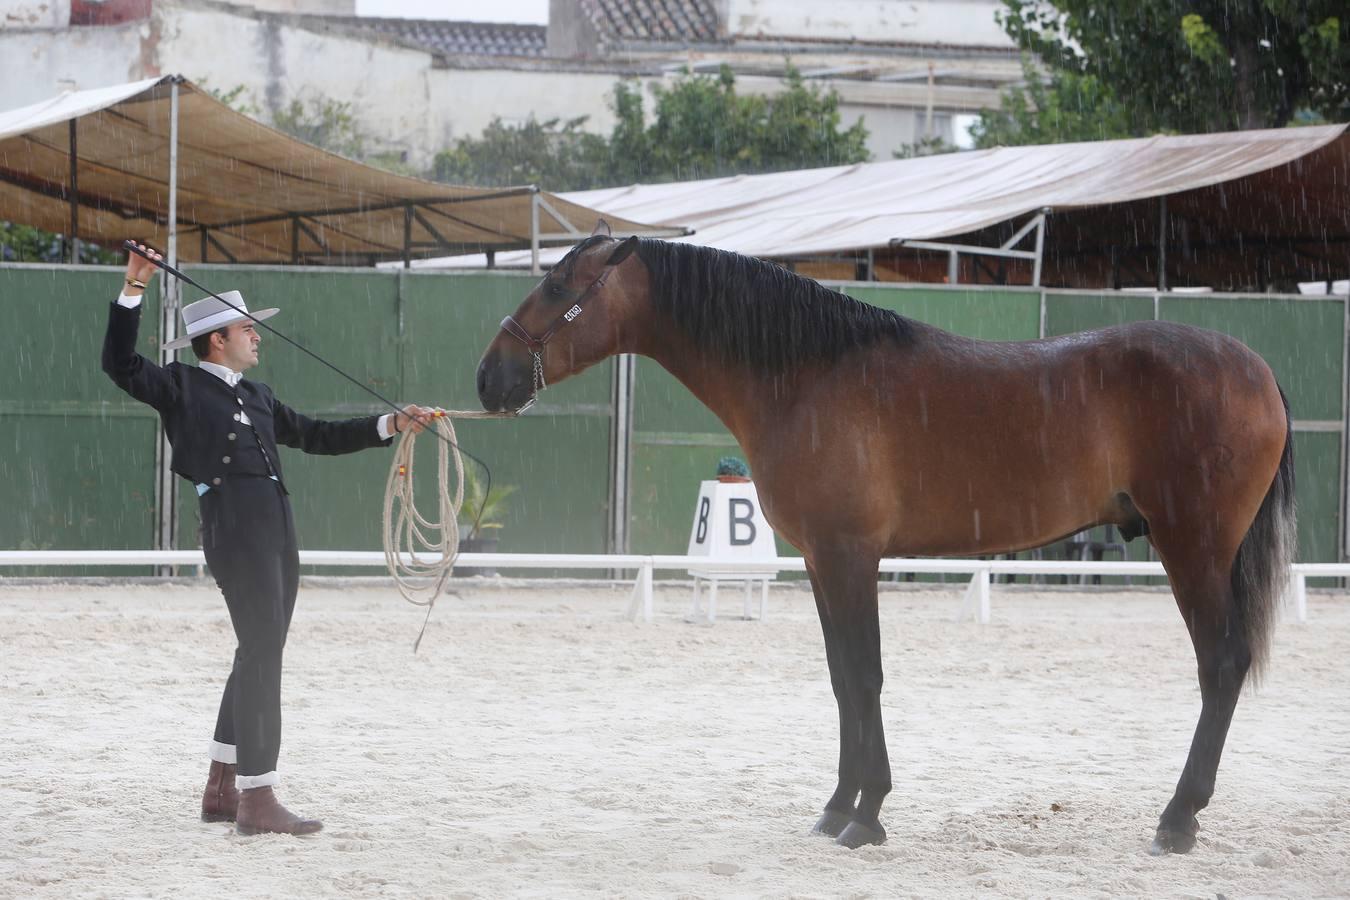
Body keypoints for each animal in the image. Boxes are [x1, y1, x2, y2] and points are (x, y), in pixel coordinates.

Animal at [475, 221, 1296, 858]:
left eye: (556, 285)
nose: (489, 378)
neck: (806, 375)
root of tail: (1257, 369)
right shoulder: (820, 561)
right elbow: (843, 679)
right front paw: (838, 806)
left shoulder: (850, 557)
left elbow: (865, 676)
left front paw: (867, 816)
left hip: (1192, 549)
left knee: (1220, 667)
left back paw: (1177, 820)